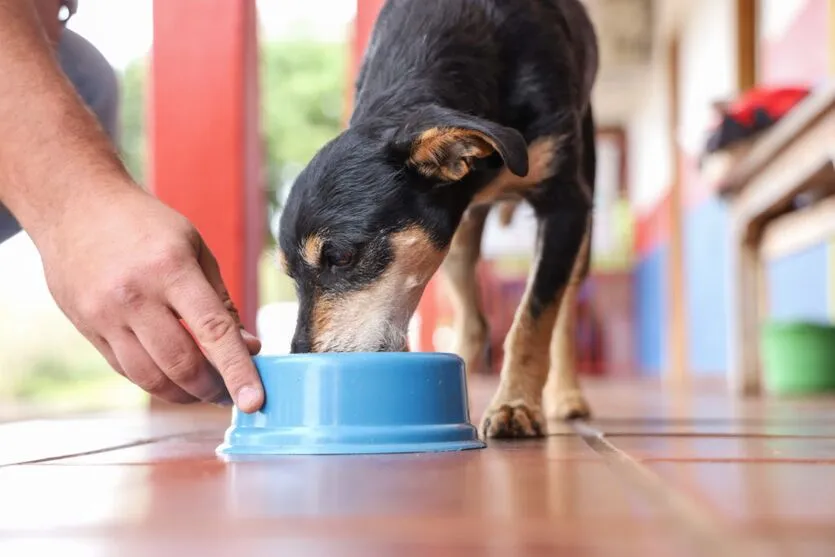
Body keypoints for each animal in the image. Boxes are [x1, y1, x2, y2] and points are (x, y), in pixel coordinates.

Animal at [280, 0, 600, 436]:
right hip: (460, 236)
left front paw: (515, 405)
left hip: (581, 218)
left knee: (563, 312)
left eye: (341, 257)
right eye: (290, 275)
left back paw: (565, 395)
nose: (300, 354)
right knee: (473, 320)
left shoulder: (565, 206)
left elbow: (532, 321)